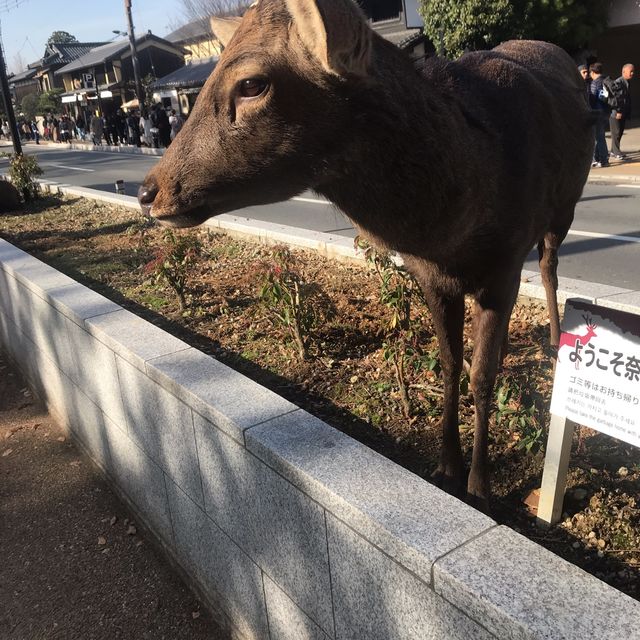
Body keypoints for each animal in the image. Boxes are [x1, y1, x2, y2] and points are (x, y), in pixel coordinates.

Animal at [139, 0, 596, 510]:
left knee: (550, 266)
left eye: (251, 83)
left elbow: (482, 376)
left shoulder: (503, 265)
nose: (149, 192)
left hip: (565, 206)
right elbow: (450, 364)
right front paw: (446, 466)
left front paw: (481, 484)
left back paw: (556, 341)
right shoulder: (431, 277)